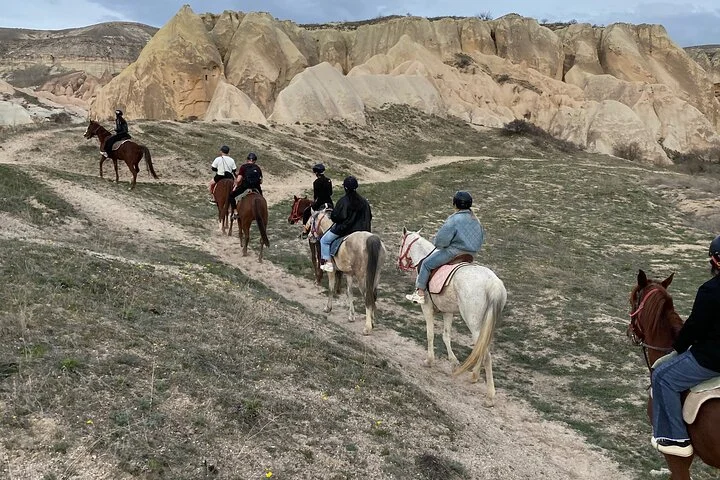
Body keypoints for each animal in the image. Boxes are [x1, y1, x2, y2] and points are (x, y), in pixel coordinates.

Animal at [398, 228, 507, 407]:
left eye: (401, 244)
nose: (399, 264)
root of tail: (493, 284)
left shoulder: (426, 308)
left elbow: (430, 334)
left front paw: (429, 361)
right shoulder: (448, 312)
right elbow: (446, 336)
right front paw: (453, 362)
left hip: (474, 323)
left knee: (486, 354)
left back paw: (489, 396)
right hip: (486, 323)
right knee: (481, 347)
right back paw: (474, 376)